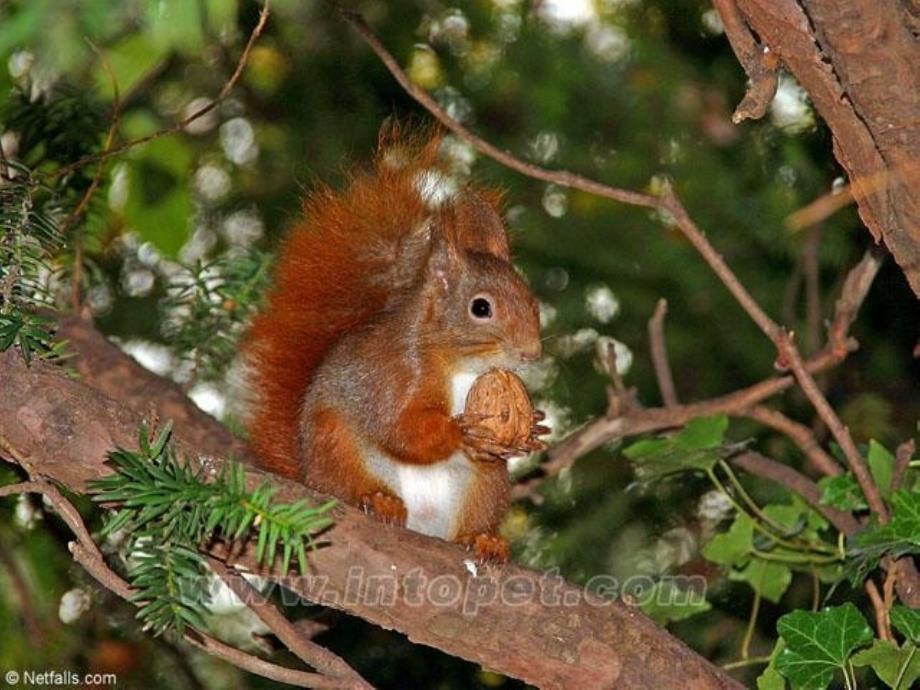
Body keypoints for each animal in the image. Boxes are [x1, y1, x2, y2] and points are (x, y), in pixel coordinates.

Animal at [244, 127, 548, 560]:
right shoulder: (397, 373)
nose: (531, 353)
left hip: (486, 486)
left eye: (532, 302)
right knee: (349, 483)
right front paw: (462, 434)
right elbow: (399, 429)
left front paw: (535, 424)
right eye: (481, 307)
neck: (460, 366)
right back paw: (379, 499)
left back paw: (483, 540)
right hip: (335, 447)